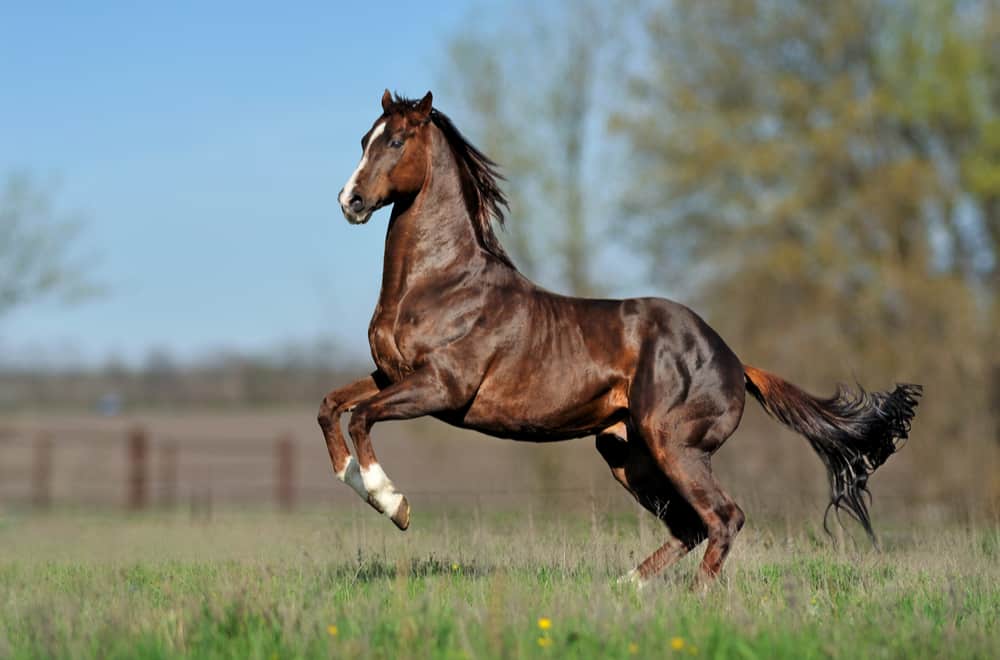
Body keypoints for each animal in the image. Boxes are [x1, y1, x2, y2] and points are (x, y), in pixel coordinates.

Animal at [317, 89, 922, 587]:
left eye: (396, 140)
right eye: (365, 139)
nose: (349, 201)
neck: (442, 283)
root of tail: (735, 361)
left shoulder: (442, 389)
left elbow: (362, 416)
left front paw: (393, 504)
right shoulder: (391, 375)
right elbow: (331, 406)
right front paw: (353, 479)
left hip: (674, 445)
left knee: (724, 518)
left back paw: (693, 598)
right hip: (626, 453)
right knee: (690, 527)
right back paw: (625, 587)